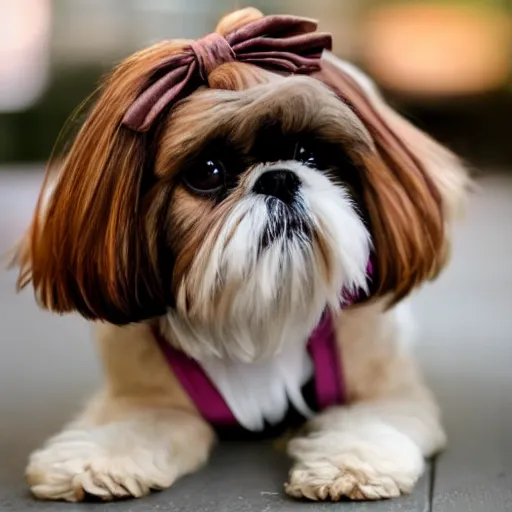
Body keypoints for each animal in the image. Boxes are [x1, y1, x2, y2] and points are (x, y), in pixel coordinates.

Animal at [14, 7, 468, 504]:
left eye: (309, 153)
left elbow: (367, 420)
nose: (279, 177)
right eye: (208, 171)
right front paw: (93, 461)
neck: (259, 306)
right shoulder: (145, 396)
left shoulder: (385, 388)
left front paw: (349, 464)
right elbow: (131, 425)